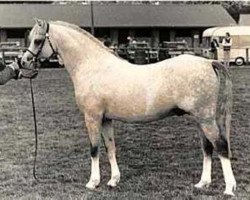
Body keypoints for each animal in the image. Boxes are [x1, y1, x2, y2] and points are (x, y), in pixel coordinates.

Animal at [21, 19, 236, 195]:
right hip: (201, 119)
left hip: (205, 119)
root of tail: (209, 62)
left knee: (221, 146)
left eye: (38, 41)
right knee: (207, 148)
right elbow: (110, 147)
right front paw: (113, 180)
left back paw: (229, 189)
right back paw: (203, 183)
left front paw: (93, 182)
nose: (23, 62)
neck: (92, 66)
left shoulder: (92, 117)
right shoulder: (106, 119)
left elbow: (94, 149)